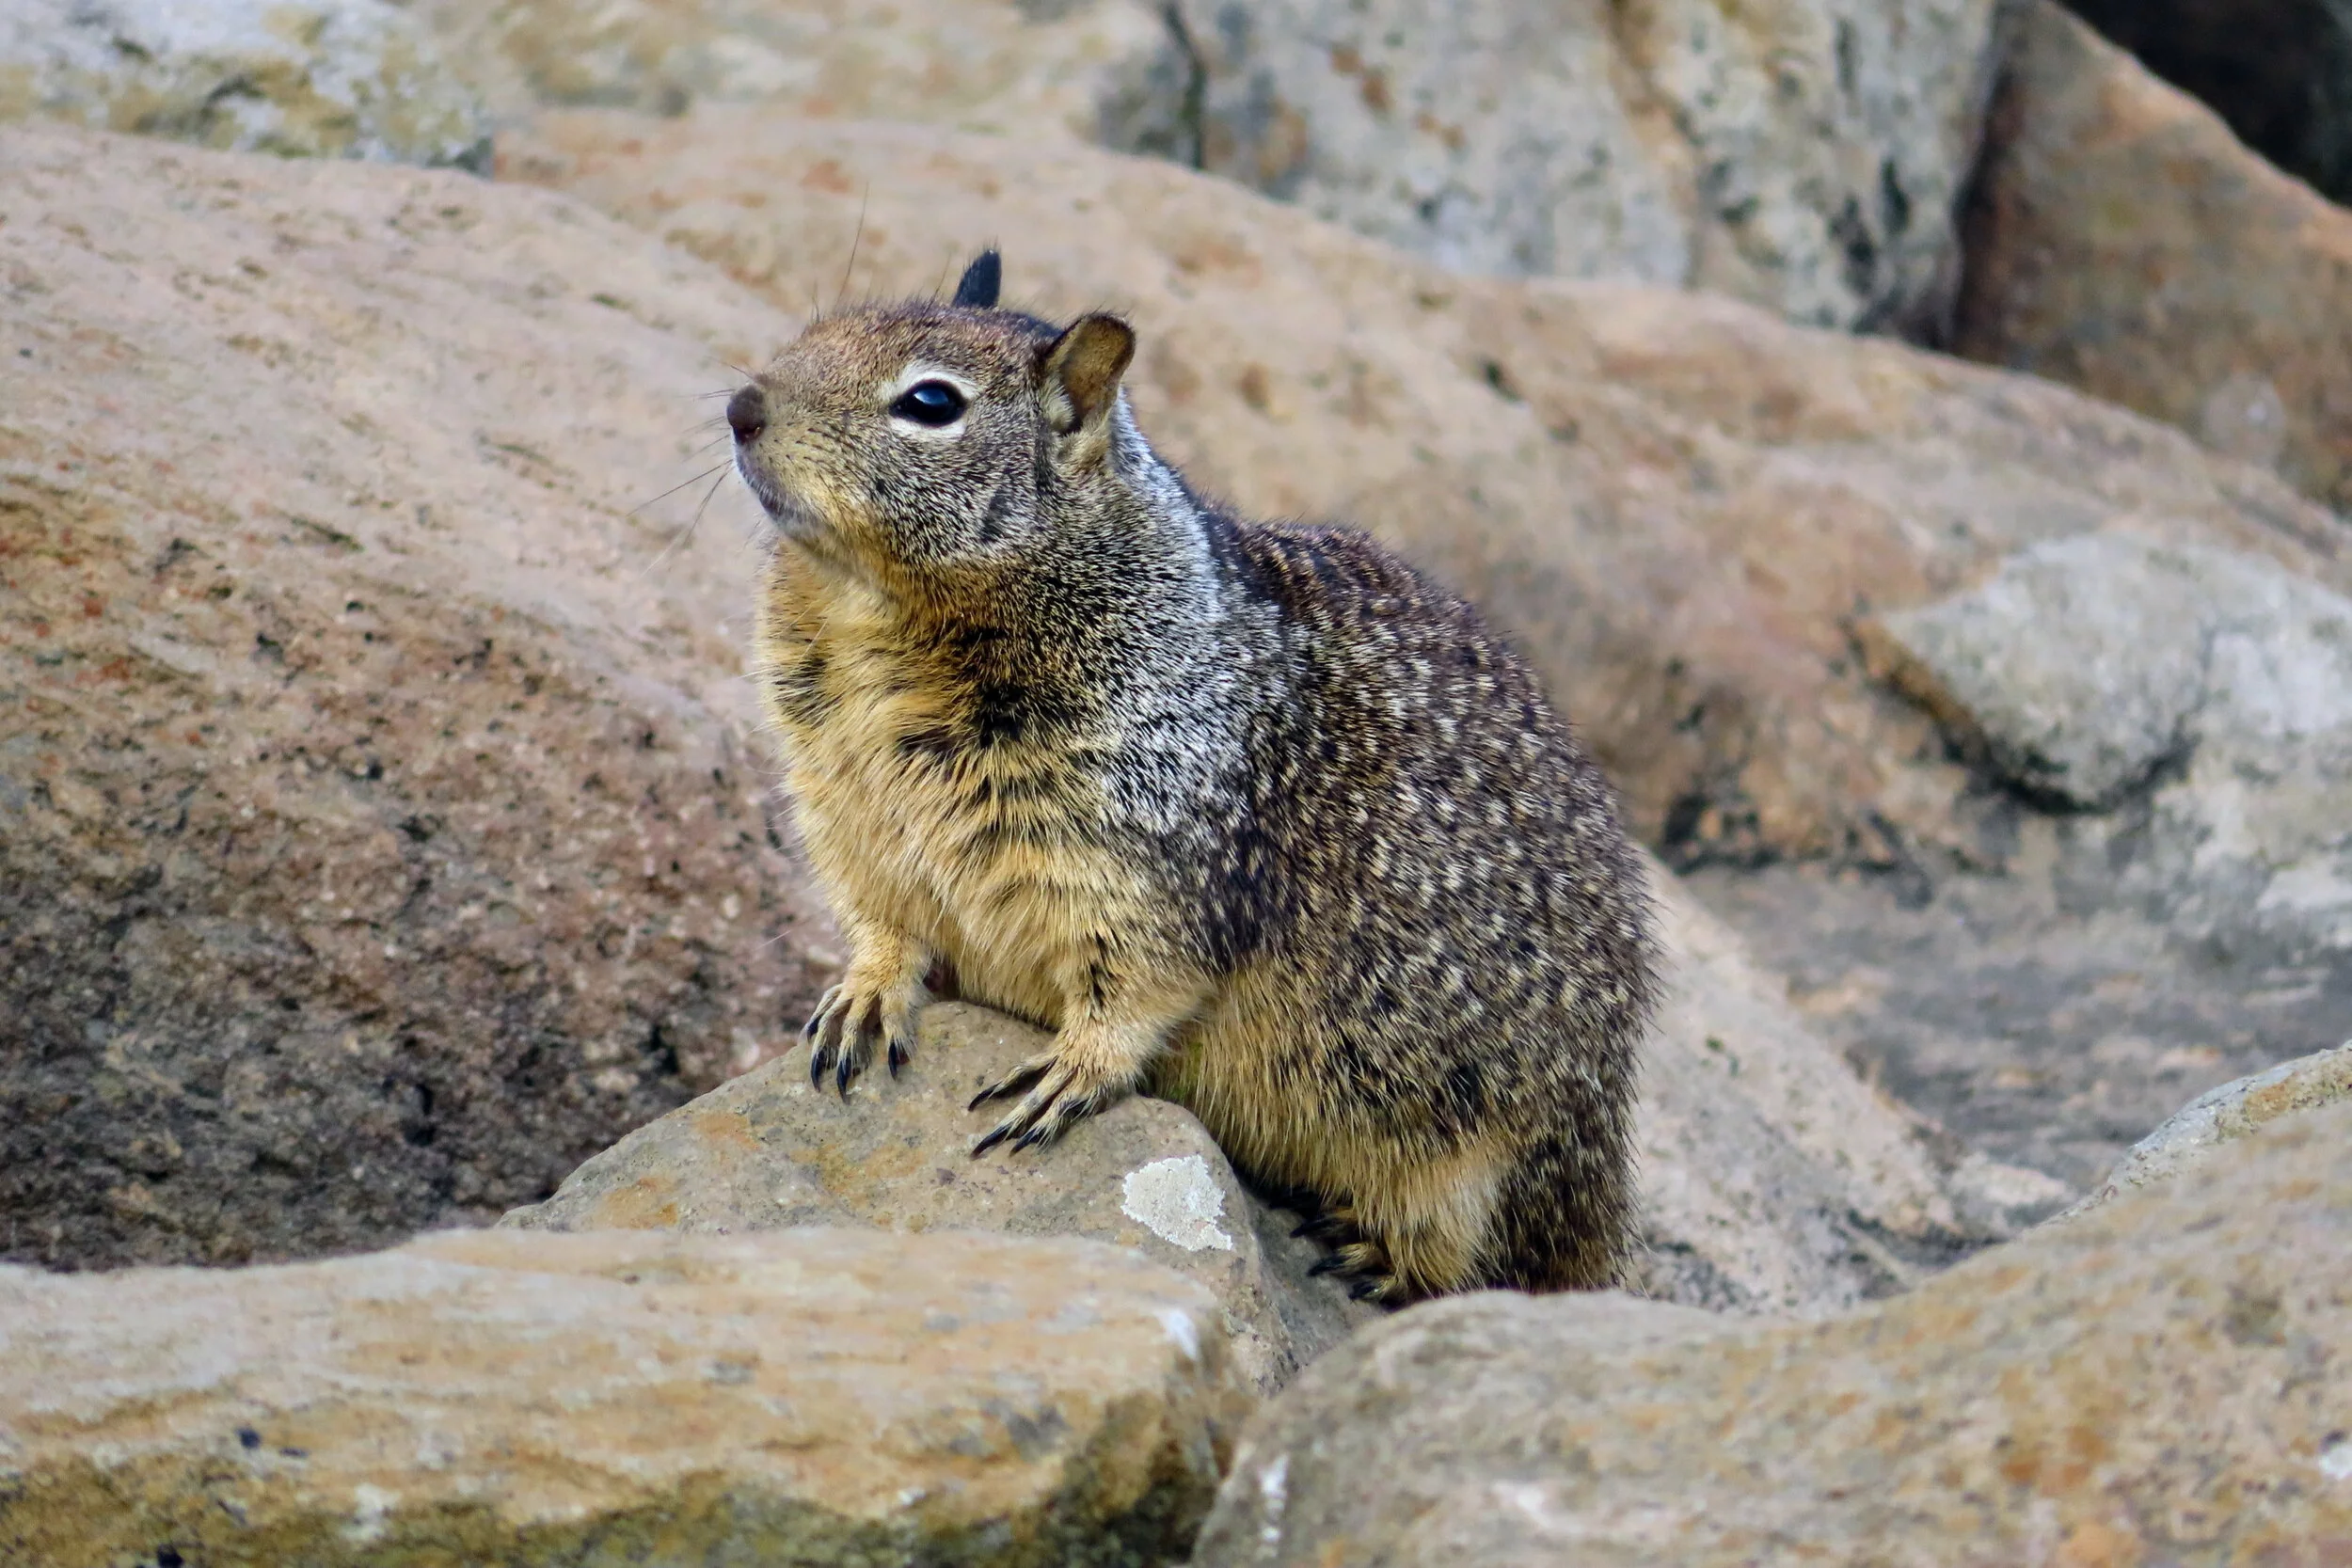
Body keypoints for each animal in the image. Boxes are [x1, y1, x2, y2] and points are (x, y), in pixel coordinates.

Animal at [725, 250, 1657, 1301]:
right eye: (816, 331)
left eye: (930, 401)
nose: (742, 407)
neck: (873, 615)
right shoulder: (848, 816)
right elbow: (882, 923)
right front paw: (863, 994)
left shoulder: (1146, 845)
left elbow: (1139, 982)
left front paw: (1072, 1070)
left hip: (1468, 1145)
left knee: (1473, 1262)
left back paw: (1372, 1253)